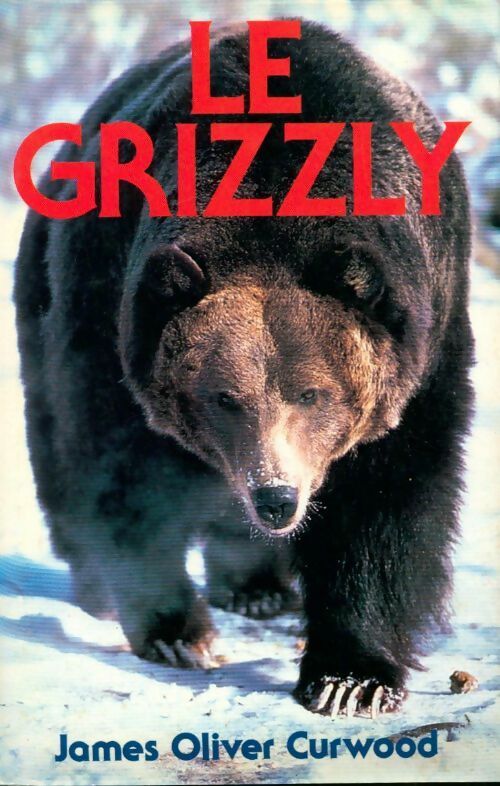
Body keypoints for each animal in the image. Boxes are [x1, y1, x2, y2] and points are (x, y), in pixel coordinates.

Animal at [14, 20, 473, 717]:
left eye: (315, 394)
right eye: (222, 397)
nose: (276, 498)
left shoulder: (423, 341)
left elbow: (388, 500)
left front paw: (350, 678)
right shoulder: (108, 309)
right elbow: (120, 470)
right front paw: (180, 632)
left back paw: (257, 586)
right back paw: (101, 587)